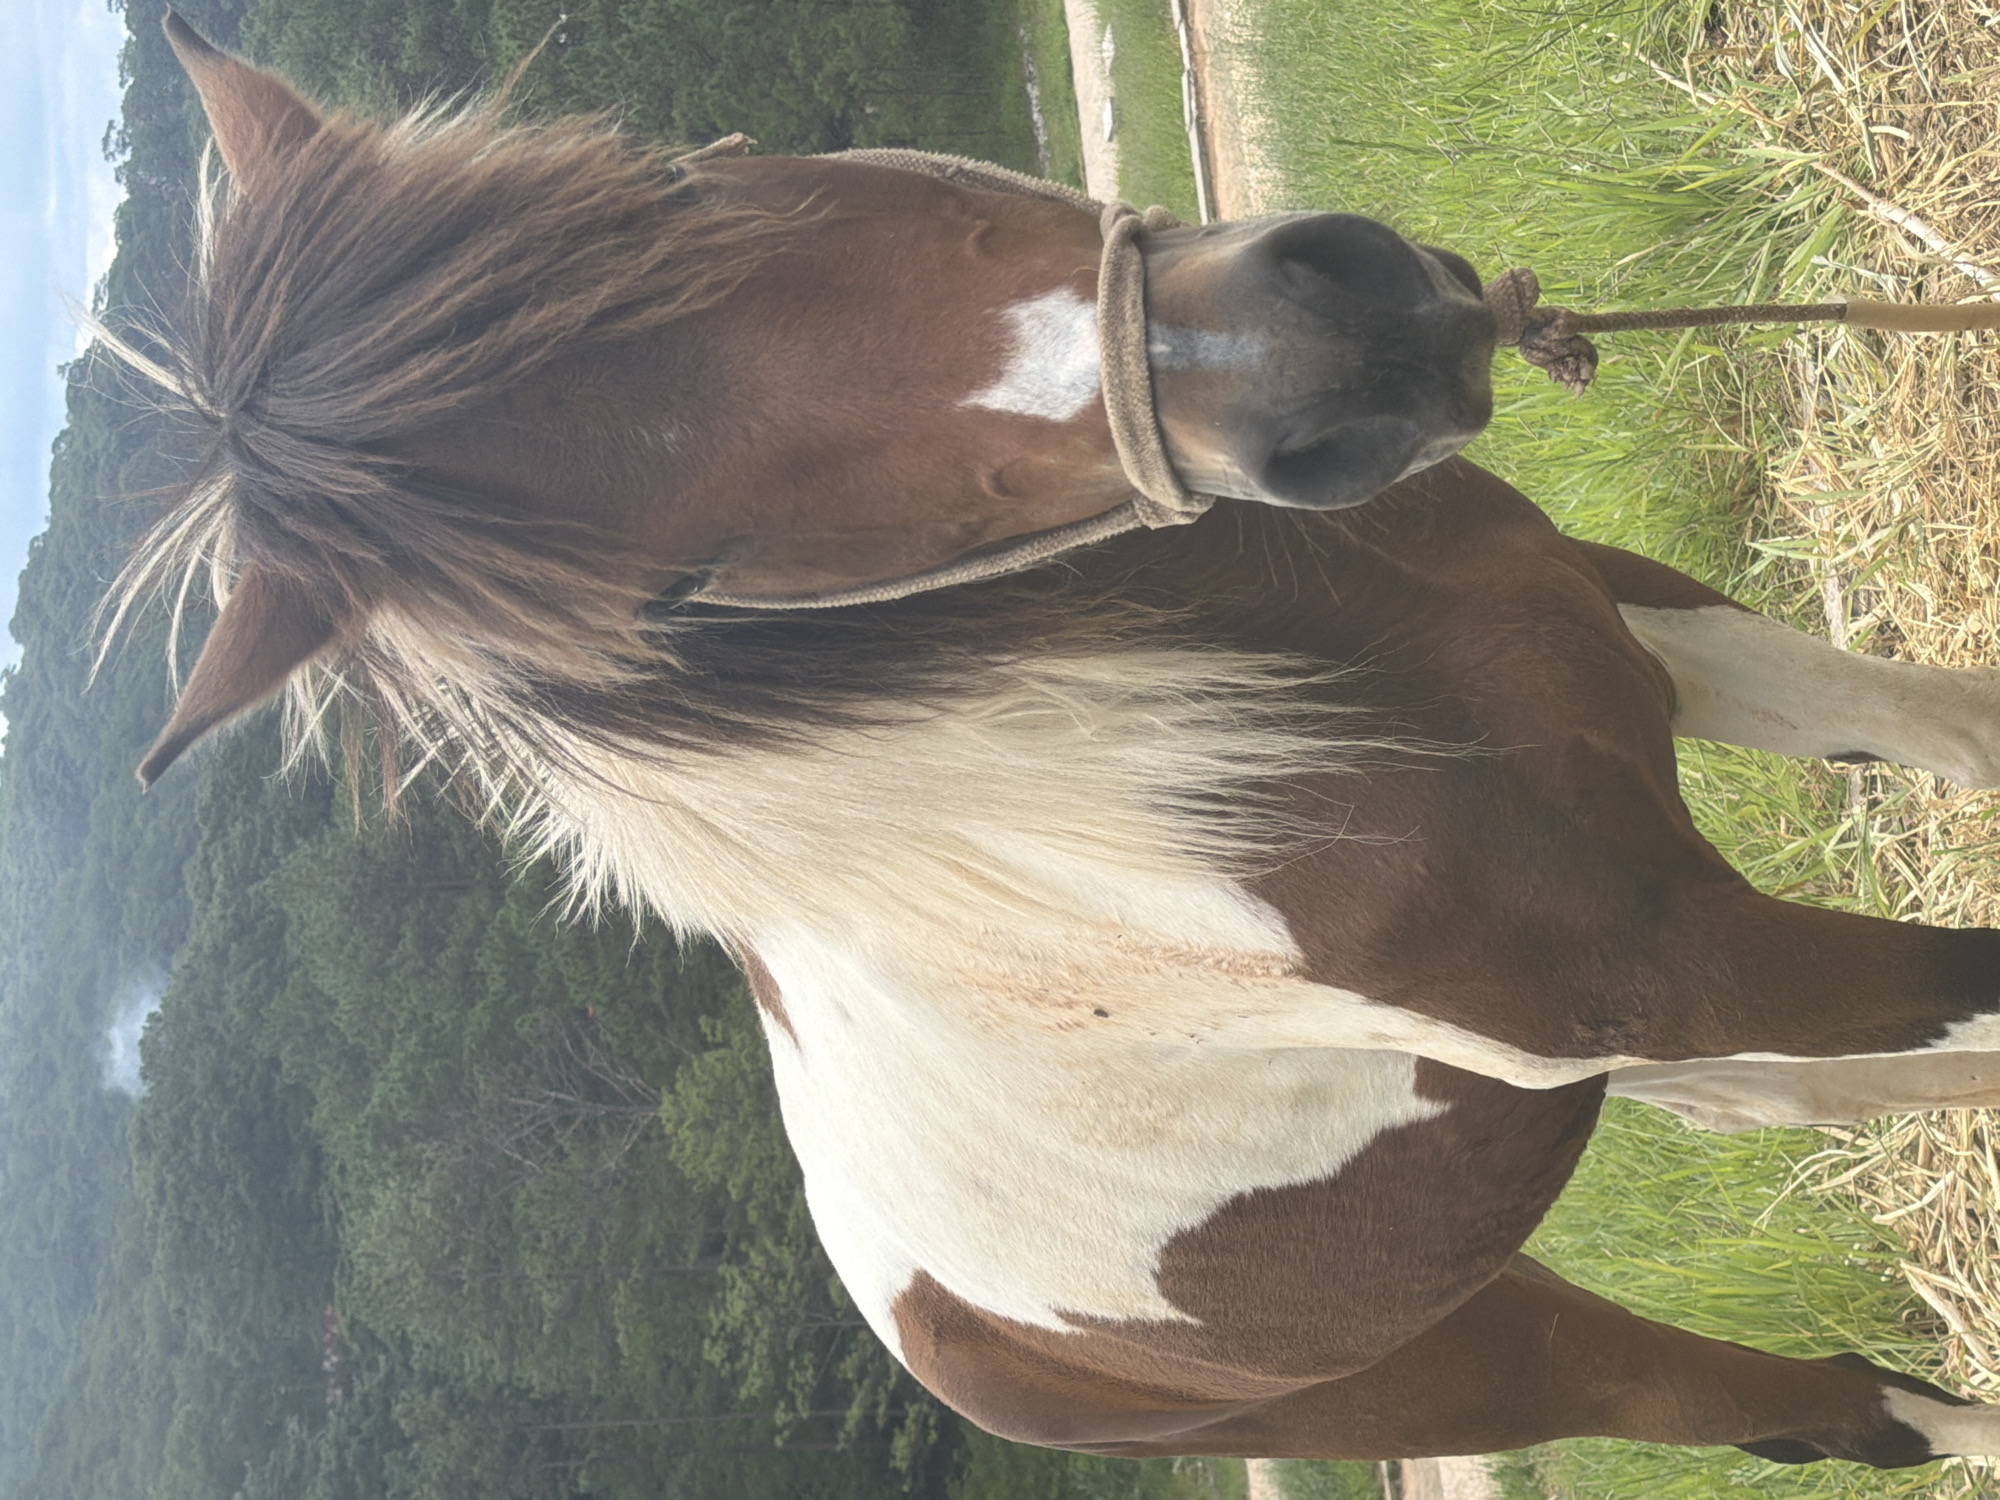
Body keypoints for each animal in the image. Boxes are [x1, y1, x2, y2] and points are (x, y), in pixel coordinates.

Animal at [124, 13, 2000, 1469]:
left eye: (679, 187)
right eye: (685, 584)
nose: (1334, 348)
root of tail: (932, 1329)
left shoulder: (1631, 633)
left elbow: (1930, 728)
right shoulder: (1691, 967)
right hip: (1476, 1347)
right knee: (1821, 1409)